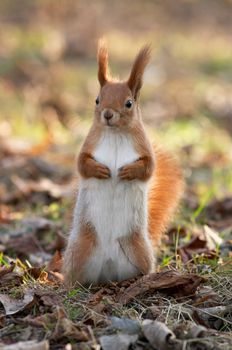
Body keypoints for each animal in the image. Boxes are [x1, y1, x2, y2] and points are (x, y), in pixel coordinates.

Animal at [62, 41, 184, 288]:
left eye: (129, 103)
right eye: (97, 100)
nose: (108, 115)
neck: (116, 134)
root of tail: (108, 271)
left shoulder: (144, 147)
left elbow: (149, 168)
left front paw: (128, 171)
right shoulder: (89, 144)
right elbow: (81, 164)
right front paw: (99, 170)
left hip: (138, 250)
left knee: (142, 268)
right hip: (80, 250)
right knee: (73, 276)